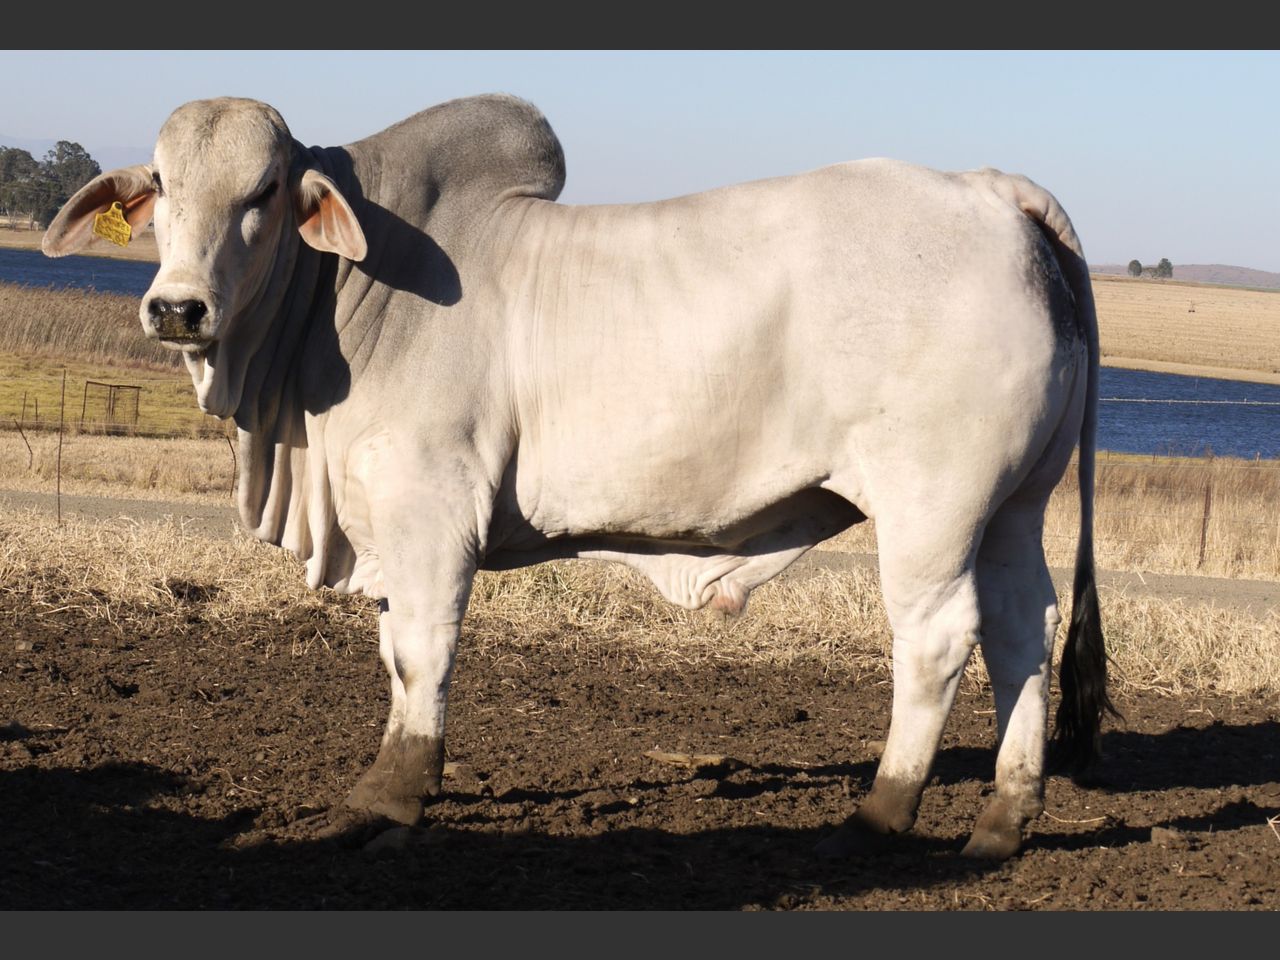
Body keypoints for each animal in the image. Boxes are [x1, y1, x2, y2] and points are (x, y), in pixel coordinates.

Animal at [43, 94, 1113, 859]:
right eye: (164, 185)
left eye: (263, 190)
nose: (177, 309)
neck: (342, 302)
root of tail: (991, 190)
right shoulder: (385, 525)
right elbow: (394, 654)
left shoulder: (431, 510)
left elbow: (422, 655)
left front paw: (392, 800)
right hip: (1014, 506)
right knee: (1022, 631)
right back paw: (1000, 822)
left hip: (932, 508)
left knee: (938, 640)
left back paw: (882, 814)